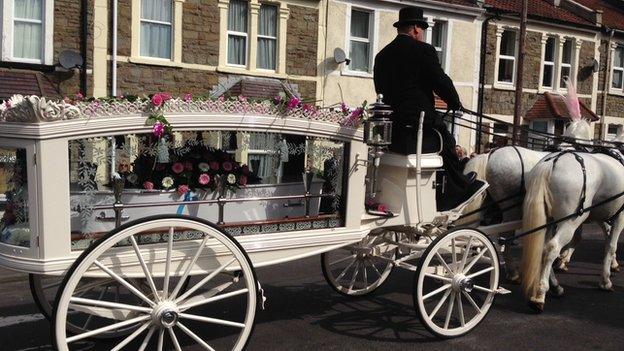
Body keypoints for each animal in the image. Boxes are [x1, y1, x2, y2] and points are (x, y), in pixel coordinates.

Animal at [520, 153, 624, 312]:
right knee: (552, 248)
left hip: (550, 221)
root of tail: (552, 163)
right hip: (570, 221)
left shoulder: (599, 216)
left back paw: (555, 287)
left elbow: (596, 238)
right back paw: (540, 294)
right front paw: (605, 281)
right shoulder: (619, 216)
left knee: (544, 248)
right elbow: (611, 246)